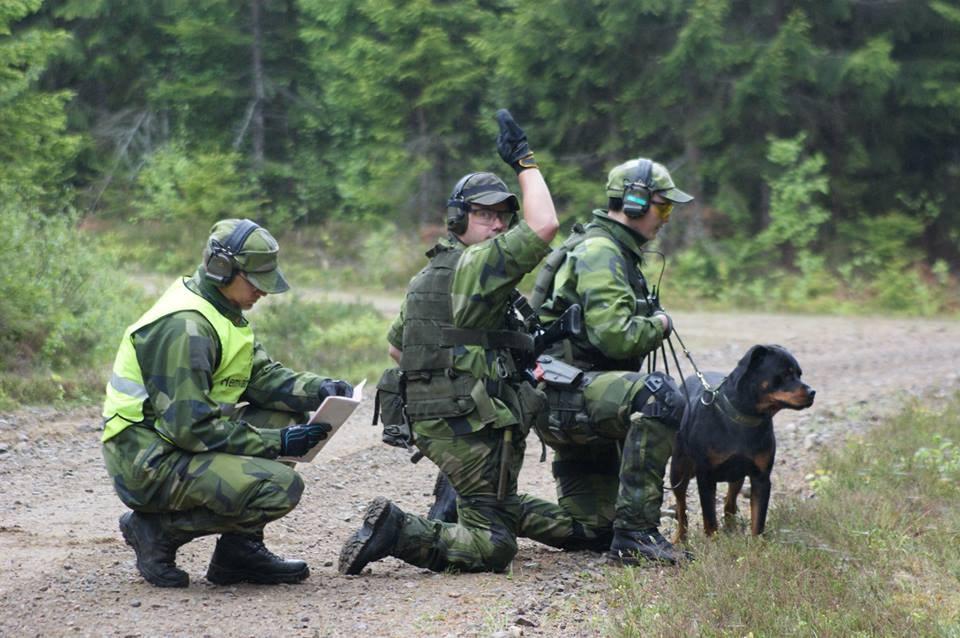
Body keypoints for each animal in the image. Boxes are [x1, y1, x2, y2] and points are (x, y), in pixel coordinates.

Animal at [668, 348, 816, 544]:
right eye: (785, 374)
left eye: (799, 374)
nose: (812, 392)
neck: (744, 417)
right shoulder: (706, 477)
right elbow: (709, 519)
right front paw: (714, 544)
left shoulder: (761, 477)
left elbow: (758, 519)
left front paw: (757, 545)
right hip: (678, 470)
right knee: (681, 507)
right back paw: (680, 537)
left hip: (737, 476)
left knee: (729, 503)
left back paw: (731, 528)